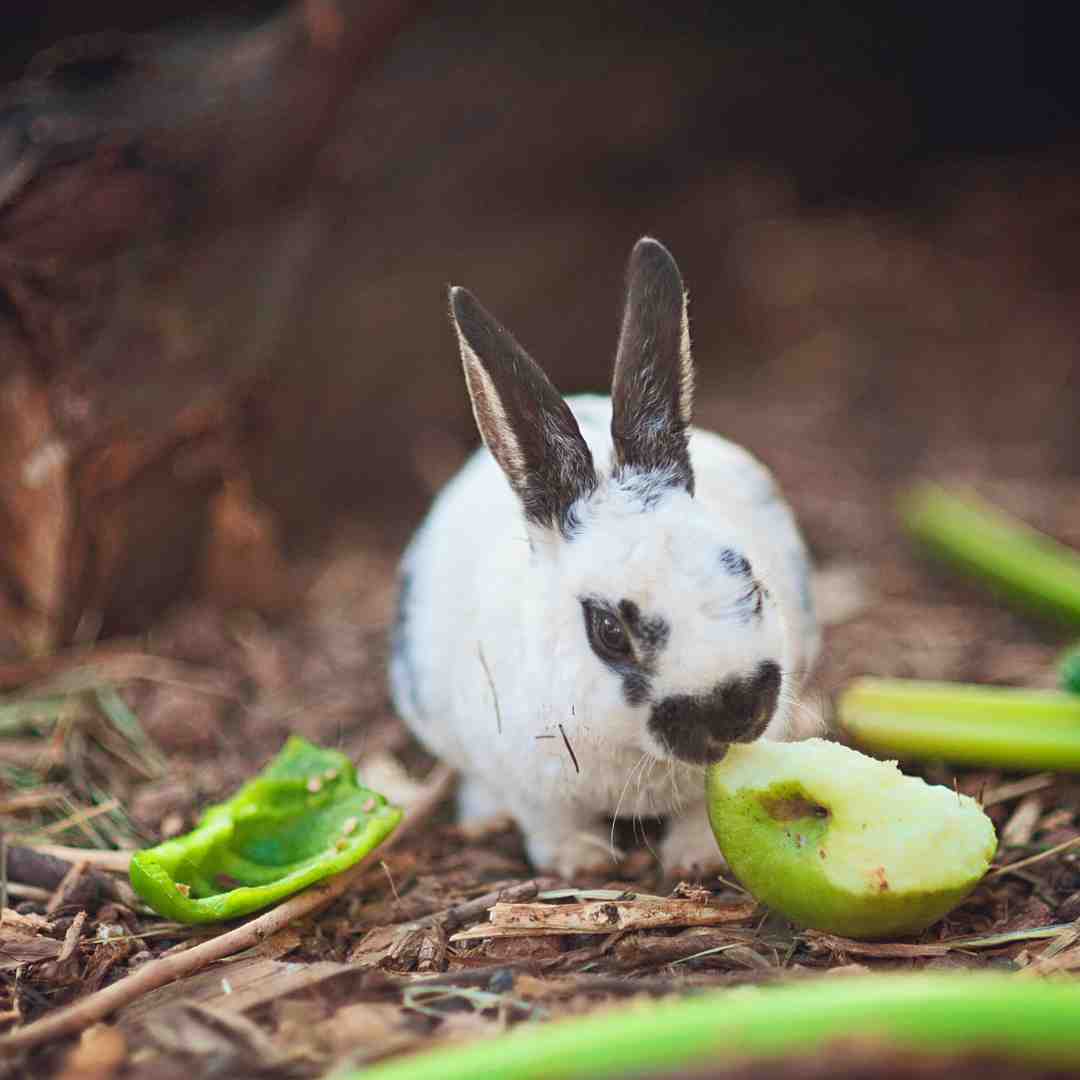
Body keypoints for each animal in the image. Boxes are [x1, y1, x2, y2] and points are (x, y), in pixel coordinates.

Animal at [393, 238, 820, 876]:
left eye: (751, 581)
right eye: (609, 632)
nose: (736, 710)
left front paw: (694, 859)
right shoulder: (531, 786)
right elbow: (551, 825)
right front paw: (584, 863)